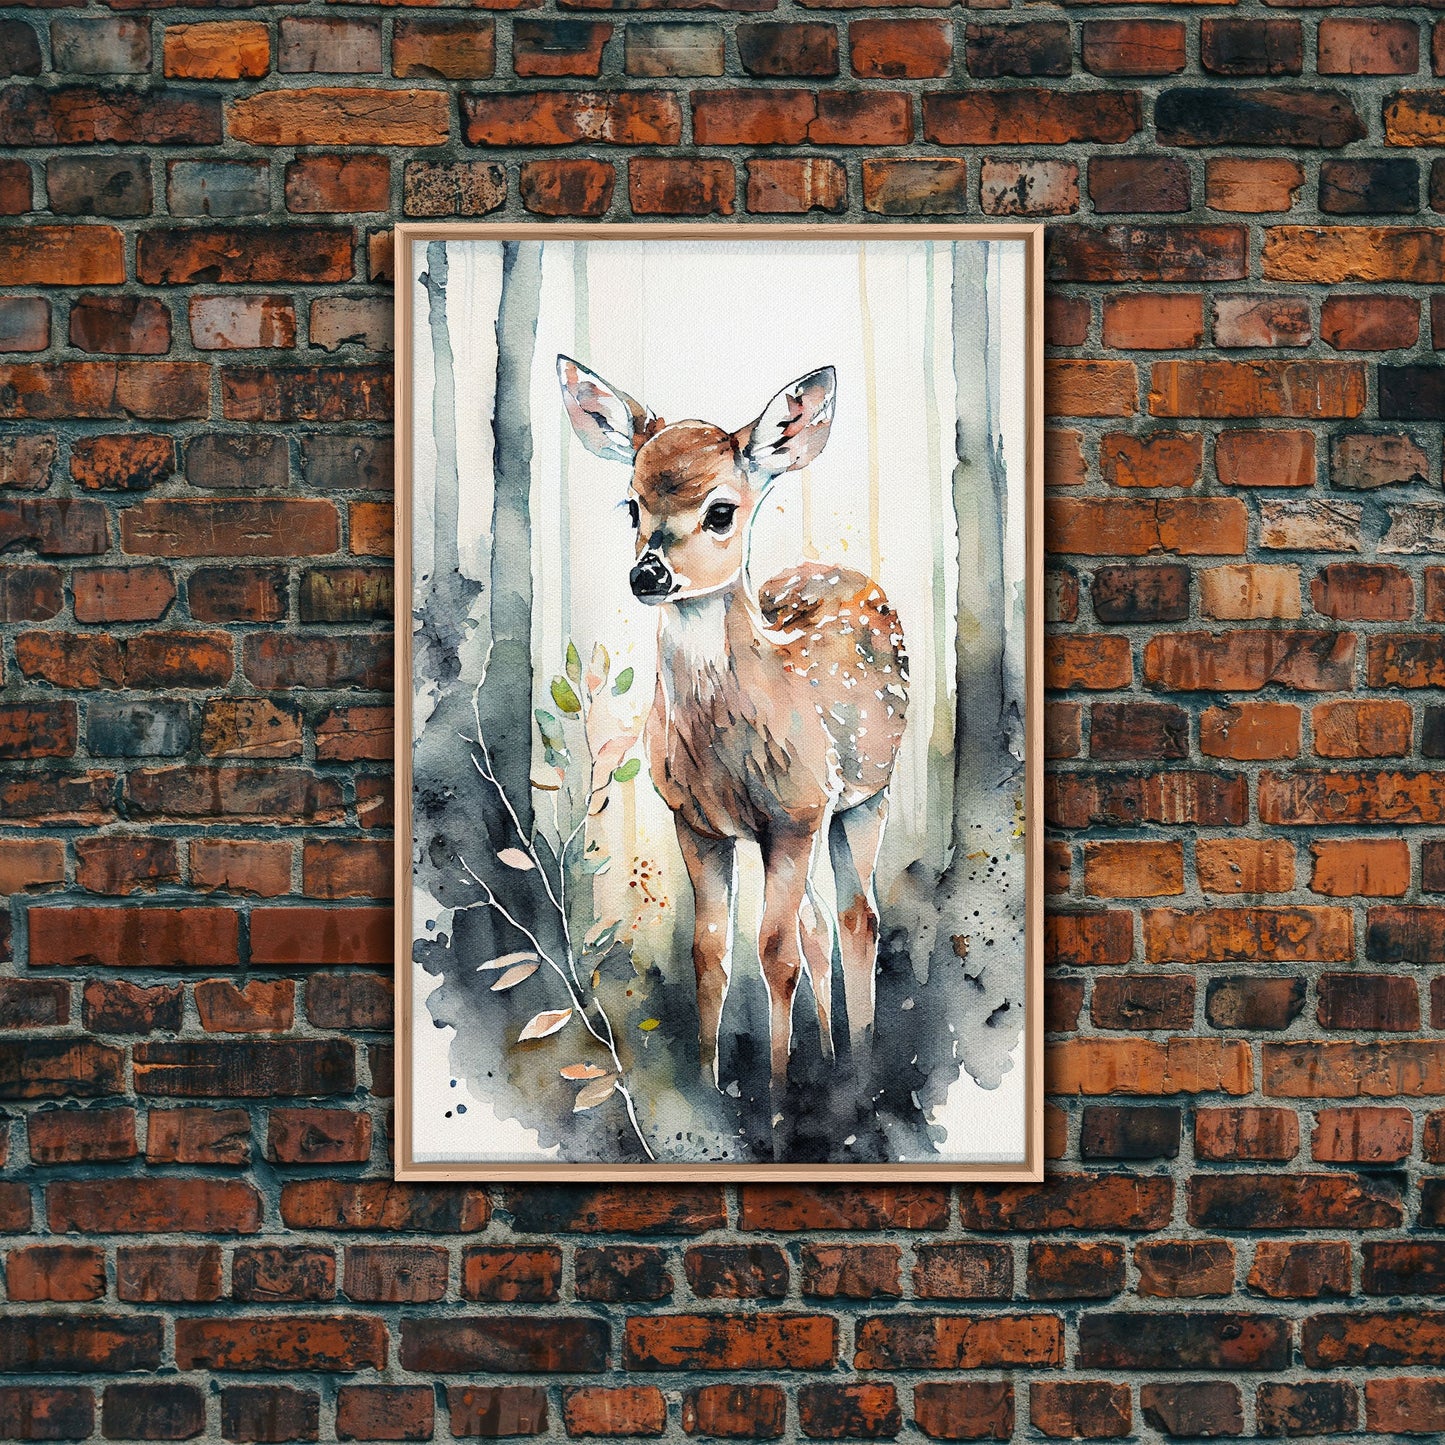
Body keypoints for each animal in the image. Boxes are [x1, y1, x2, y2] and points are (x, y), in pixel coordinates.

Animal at [558, 356, 909, 1120]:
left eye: (720, 511)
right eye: (631, 506)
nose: (648, 573)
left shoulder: (797, 810)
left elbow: (773, 951)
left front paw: (775, 1101)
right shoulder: (696, 822)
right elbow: (710, 952)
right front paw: (707, 1088)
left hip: (865, 793)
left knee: (855, 917)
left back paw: (858, 1067)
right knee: (818, 925)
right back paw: (831, 1054)